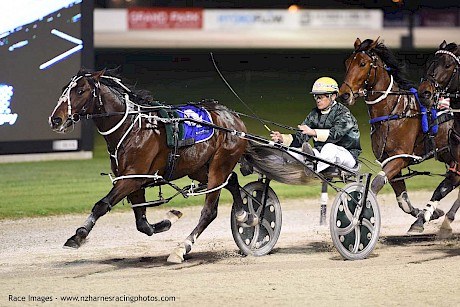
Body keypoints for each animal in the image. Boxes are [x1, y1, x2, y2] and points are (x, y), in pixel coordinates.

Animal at [338, 37, 452, 231]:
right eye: (347, 63)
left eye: (362, 63)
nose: (344, 94)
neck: (394, 111)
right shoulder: (389, 160)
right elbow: (403, 201)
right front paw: (427, 214)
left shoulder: (400, 158)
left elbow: (375, 184)